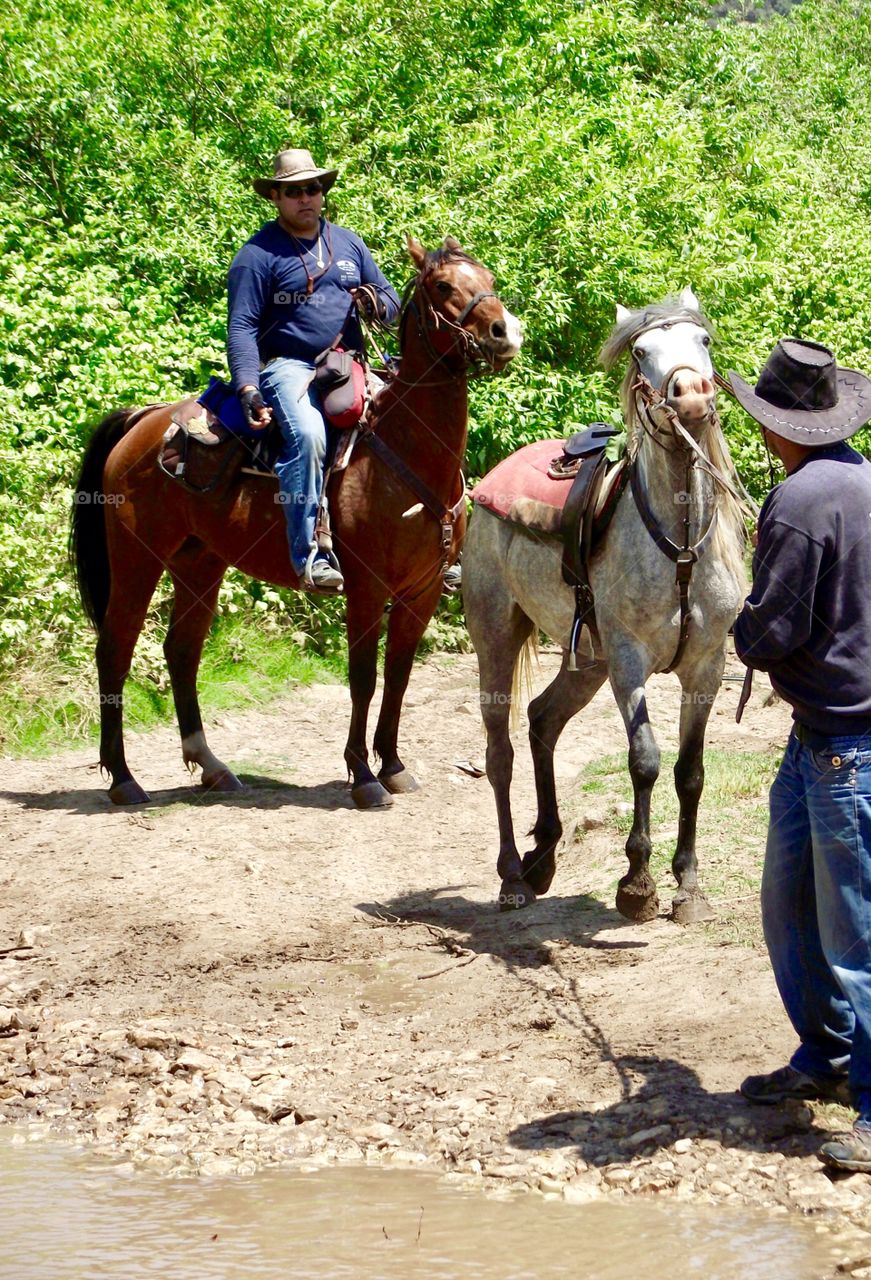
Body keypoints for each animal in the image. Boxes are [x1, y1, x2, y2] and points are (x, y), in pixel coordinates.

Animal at [70, 236, 522, 810]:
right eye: (443, 286)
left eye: (487, 277)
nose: (505, 332)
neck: (405, 451)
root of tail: (141, 420)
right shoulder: (367, 587)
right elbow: (363, 676)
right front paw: (364, 775)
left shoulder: (420, 591)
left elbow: (398, 676)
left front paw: (394, 765)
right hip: (136, 560)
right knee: (115, 649)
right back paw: (124, 778)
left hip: (200, 564)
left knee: (181, 651)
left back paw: (212, 766)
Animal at [464, 289, 747, 925]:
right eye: (641, 352)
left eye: (704, 341)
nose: (692, 394)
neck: (680, 542)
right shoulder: (627, 660)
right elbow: (644, 760)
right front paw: (637, 883)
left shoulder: (706, 667)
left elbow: (690, 772)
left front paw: (687, 885)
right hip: (497, 638)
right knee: (499, 752)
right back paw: (512, 875)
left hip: (585, 662)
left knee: (543, 720)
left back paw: (543, 852)